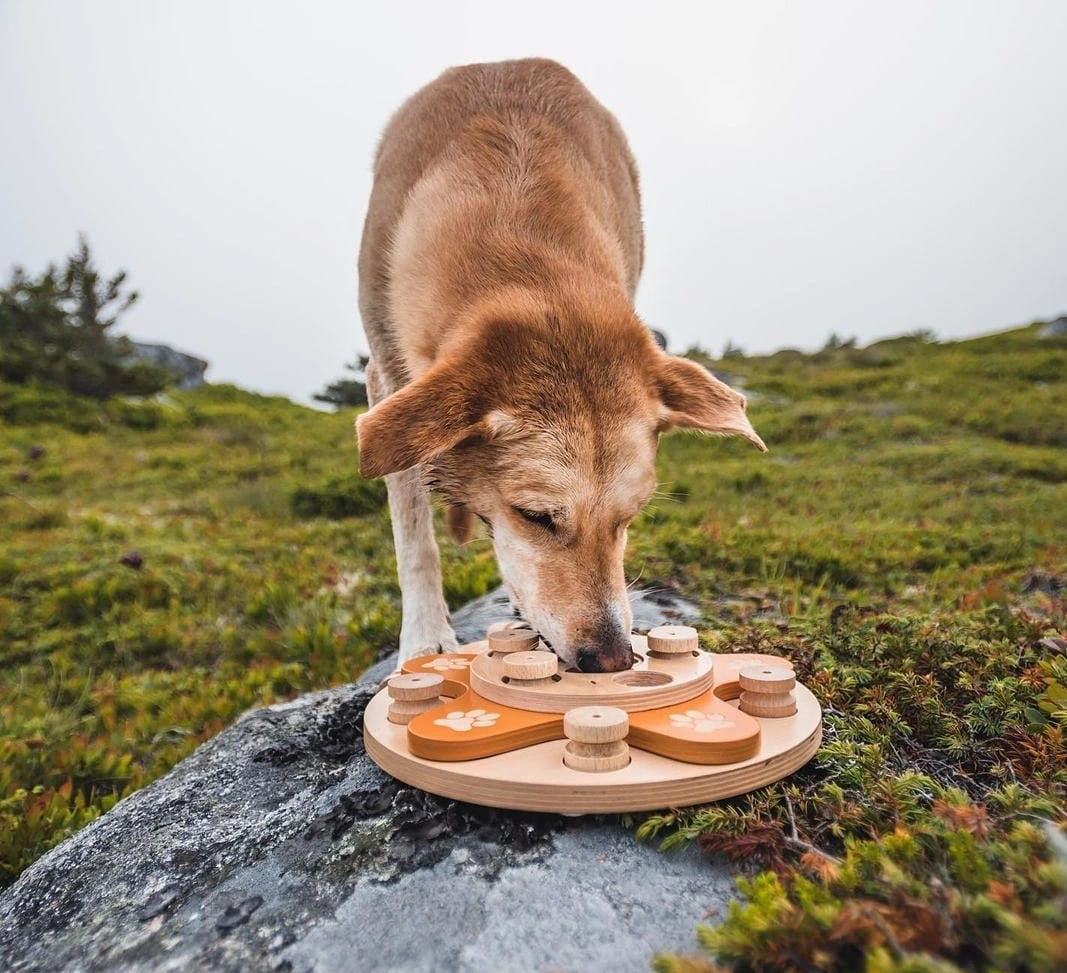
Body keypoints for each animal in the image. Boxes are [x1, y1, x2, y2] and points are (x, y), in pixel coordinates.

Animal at [358, 57, 768, 674]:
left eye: (628, 519)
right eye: (536, 517)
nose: (614, 659)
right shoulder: (386, 381)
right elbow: (414, 537)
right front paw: (427, 639)